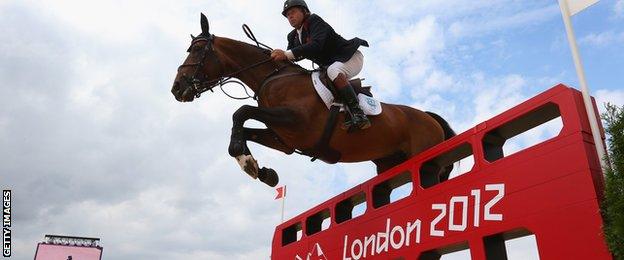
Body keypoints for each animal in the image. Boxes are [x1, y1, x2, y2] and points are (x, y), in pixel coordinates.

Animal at [169, 13, 454, 187]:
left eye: (197, 49)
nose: (176, 88)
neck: (270, 77)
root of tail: (429, 117)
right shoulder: (284, 139)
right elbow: (246, 128)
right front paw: (262, 171)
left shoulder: (296, 120)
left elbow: (241, 111)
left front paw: (246, 160)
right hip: (388, 163)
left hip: (424, 160)